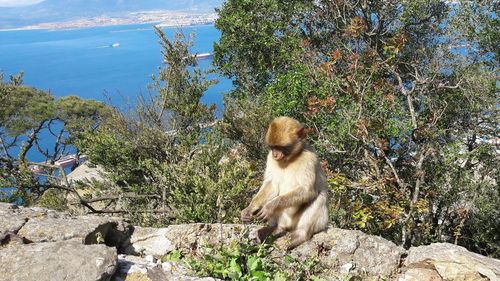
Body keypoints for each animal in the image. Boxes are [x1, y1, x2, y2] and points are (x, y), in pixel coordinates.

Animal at [241, 116, 330, 249]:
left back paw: (300, 234)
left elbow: (307, 191)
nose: (275, 154)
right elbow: (271, 185)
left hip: (312, 222)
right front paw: (250, 208)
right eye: (272, 147)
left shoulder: (309, 159)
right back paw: (275, 229)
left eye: (281, 147)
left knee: (319, 196)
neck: (290, 159)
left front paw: (270, 207)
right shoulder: (269, 158)